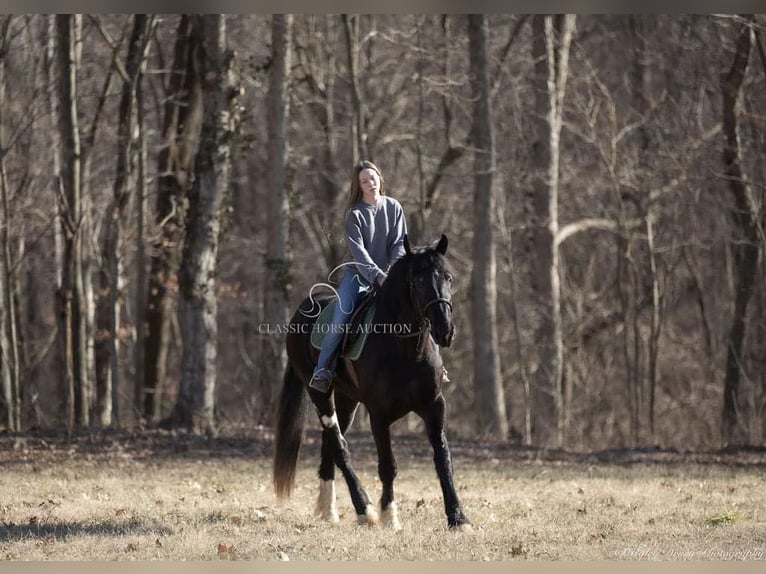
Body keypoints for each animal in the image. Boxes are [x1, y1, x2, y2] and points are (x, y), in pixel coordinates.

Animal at [272, 234, 472, 532]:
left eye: (448, 277)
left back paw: (328, 510)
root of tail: (302, 310)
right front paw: (389, 515)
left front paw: (458, 518)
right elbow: (388, 465)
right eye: (418, 280)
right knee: (339, 447)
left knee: (330, 445)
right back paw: (364, 509)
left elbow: (443, 460)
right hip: (319, 393)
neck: (405, 349)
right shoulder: (379, 414)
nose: (444, 330)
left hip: (346, 401)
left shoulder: (434, 406)